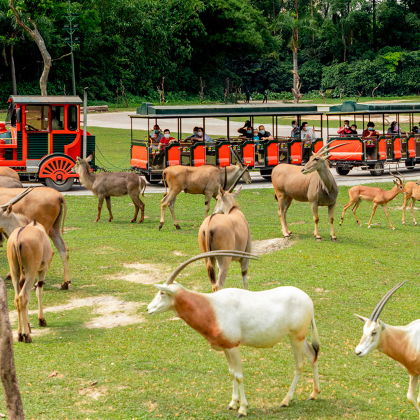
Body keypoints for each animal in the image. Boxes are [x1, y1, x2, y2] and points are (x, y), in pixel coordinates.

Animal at [146, 251, 320, 418]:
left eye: (162, 293)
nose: (148, 309)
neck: (211, 307)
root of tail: (308, 300)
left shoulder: (233, 346)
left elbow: (238, 375)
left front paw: (242, 409)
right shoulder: (226, 347)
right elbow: (231, 373)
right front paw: (232, 403)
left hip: (296, 337)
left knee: (299, 364)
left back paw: (286, 400)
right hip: (298, 336)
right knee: (312, 355)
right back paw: (314, 394)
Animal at [356, 280, 420, 418]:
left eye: (374, 332)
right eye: (363, 330)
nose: (358, 351)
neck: (407, 337)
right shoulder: (414, 372)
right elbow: (410, 397)